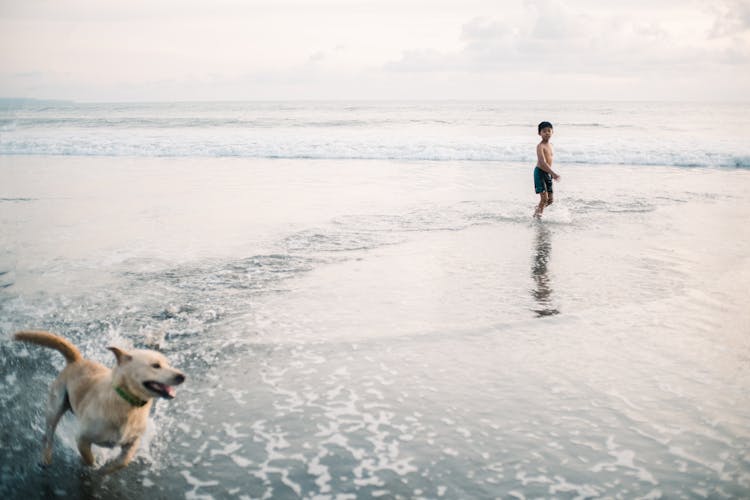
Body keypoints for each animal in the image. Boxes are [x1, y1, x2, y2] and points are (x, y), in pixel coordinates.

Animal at [13, 330, 186, 474]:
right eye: (155, 366)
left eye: (169, 364)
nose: (182, 376)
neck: (128, 404)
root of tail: (77, 360)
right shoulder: (82, 438)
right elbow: (88, 457)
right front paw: (94, 466)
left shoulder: (133, 441)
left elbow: (123, 461)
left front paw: (106, 469)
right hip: (55, 408)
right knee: (48, 435)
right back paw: (46, 458)